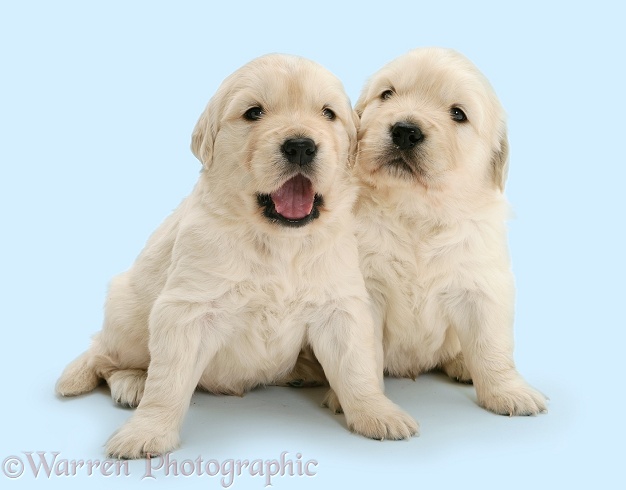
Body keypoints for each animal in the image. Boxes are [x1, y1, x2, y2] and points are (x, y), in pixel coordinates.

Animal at [54, 53, 414, 460]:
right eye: (253, 113)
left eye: (328, 113)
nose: (301, 146)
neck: (278, 241)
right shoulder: (186, 310)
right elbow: (168, 382)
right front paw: (147, 432)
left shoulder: (339, 306)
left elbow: (357, 367)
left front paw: (377, 413)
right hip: (126, 318)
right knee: (103, 356)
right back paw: (130, 382)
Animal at [352, 47, 544, 418]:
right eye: (387, 94)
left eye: (458, 114)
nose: (405, 131)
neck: (416, 211)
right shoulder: (365, 286)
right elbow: (362, 353)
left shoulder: (482, 285)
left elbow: (492, 346)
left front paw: (508, 391)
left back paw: (463, 365)